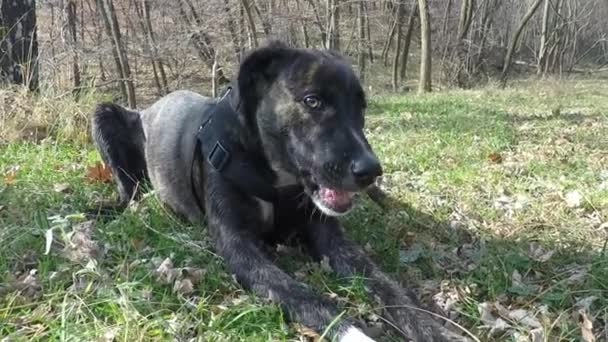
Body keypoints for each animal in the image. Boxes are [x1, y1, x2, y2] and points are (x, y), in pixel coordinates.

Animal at [91, 41, 460, 340]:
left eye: (362, 106)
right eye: (313, 101)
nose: (371, 171)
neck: (277, 178)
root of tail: (150, 107)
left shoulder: (332, 238)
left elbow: (390, 287)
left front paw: (433, 330)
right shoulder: (241, 249)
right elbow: (307, 297)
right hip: (104, 113)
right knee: (128, 190)